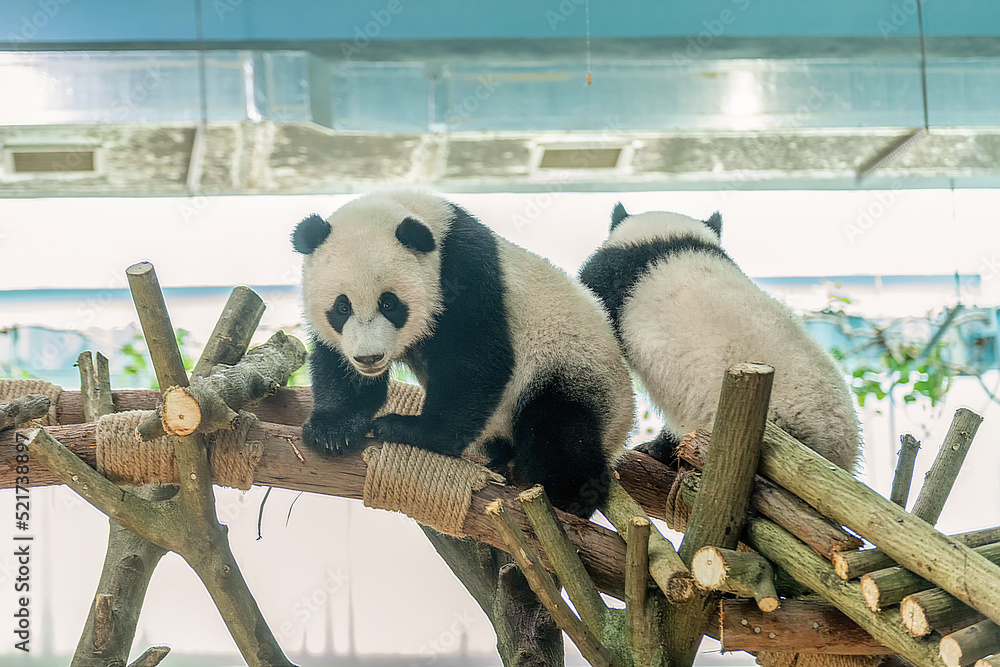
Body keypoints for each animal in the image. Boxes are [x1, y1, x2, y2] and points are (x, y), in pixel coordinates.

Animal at [292, 190, 632, 520]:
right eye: (342, 307)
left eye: (389, 304)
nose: (369, 358)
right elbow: (337, 366)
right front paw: (333, 431)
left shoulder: (466, 271)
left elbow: (476, 362)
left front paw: (410, 430)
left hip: (571, 368)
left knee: (558, 431)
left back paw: (571, 494)